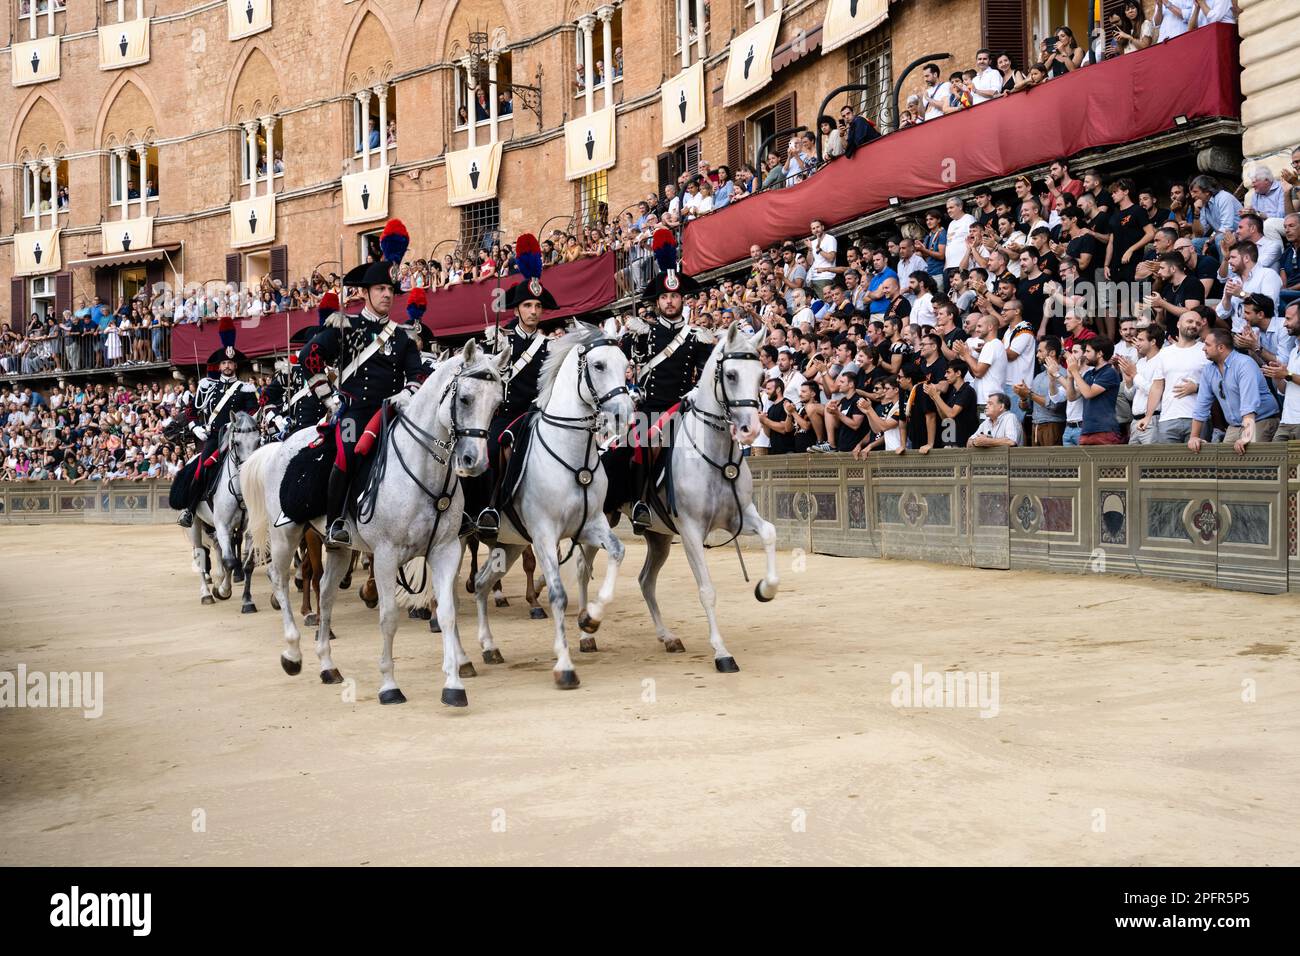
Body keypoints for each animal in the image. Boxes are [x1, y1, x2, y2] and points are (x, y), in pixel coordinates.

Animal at [187, 411, 262, 613]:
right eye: (236, 443)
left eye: (258, 441)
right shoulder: (222, 526)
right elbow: (230, 561)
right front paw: (223, 590)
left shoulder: (248, 530)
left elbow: (247, 564)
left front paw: (247, 600)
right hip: (196, 525)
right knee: (200, 555)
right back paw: (206, 594)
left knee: (218, 548)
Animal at [244, 340, 506, 707]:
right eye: (465, 398)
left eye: (497, 405)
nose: (474, 462)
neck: (423, 469)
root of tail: (282, 445)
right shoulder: (385, 555)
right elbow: (389, 617)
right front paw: (389, 685)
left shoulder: (445, 550)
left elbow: (448, 613)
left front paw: (454, 683)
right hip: (286, 535)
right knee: (279, 580)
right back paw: (292, 654)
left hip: (336, 546)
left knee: (326, 593)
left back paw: (327, 664)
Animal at [478, 321, 639, 686]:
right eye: (598, 365)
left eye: (626, 363)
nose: (624, 415)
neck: (571, 452)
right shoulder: (544, 535)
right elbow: (557, 594)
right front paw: (565, 666)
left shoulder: (591, 525)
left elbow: (617, 552)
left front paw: (590, 619)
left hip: (507, 544)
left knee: (480, 585)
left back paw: (489, 647)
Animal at [618, 321, 780, 671]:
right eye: (730, 374)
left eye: (762, 375)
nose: (749, 430)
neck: (715, 454)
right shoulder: (691, 530)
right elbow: (707, 590)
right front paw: (721, 652)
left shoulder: (741, 515)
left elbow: (770, 532)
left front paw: (765, 589)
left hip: (658, 537)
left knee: (645, 580)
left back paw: (667, 637)